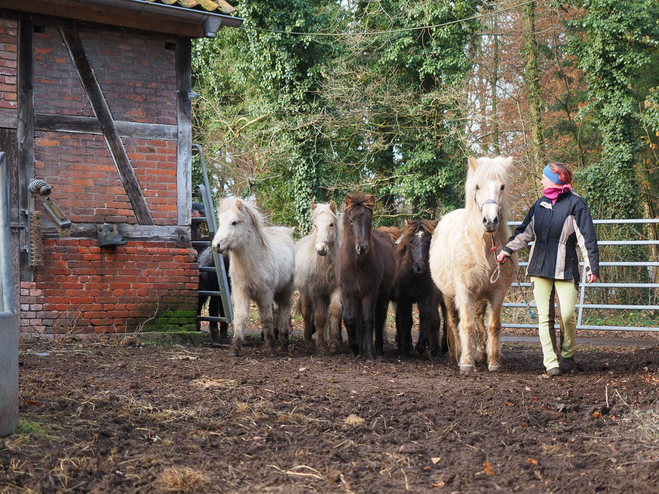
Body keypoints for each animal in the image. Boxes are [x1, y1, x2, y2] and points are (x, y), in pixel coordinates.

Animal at [213, 199, 296, 356]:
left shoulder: (264, 294)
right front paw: (235, 347)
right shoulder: (241, 292)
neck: (252, 263)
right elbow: (240, 317)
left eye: (234, 222)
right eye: (220, 220)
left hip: (286, 292)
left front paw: (270, 348)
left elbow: (266, 319)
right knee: (277, 310)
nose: (216, 245)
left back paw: (284, 342)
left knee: (284, 312)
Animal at [296, 201, 342, 356]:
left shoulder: (336, 289)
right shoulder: (317, 293)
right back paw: (308, 341)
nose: (321, 249)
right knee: (307, 313)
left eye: (331, 224)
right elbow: (320, 317)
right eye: (315, 225)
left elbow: (334, 311)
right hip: (305, 294)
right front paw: (321, 346)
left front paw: (333, 344)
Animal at [336, 193, 398, 358]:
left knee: (379, 318)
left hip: (382, 295)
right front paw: (355, 348)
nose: (362, 247)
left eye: (369, 219)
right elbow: (350, 319)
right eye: (351, 220)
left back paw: (378, 349)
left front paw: (370, 353)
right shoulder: (347, 292)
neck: (357, 266)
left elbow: (368, 320)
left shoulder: (370, 293)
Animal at [430, 156, 520, 372]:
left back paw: (480, 353)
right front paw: (466, 362)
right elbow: (466, 325)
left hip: (480, 296)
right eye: (477, 187)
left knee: (479, 319)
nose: (490, 221)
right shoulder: (464, 292)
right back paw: (457, 356)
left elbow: (493, 326)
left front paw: (493, 362)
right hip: (448, 295)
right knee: (454, 322)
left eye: (502, 186)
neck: (482, 246)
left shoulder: (497, 292)